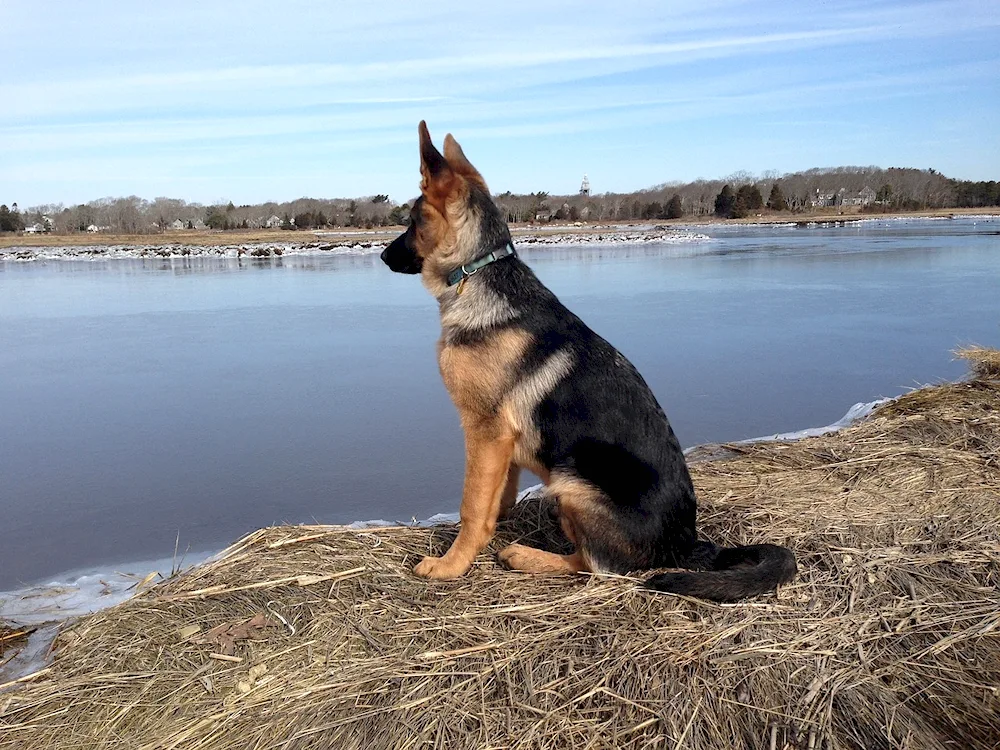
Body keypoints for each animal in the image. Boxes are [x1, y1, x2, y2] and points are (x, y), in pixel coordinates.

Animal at [382, 125, 796, 604]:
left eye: (413, 220)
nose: (382, 257)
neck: (476, 272)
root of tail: (688, 545)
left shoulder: (484, 430)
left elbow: (472, 504)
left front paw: (452, 565)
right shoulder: (502, 440)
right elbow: (497, 497)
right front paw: (489, 532)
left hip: (571, 482)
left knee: (594, 565)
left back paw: (527, 556)